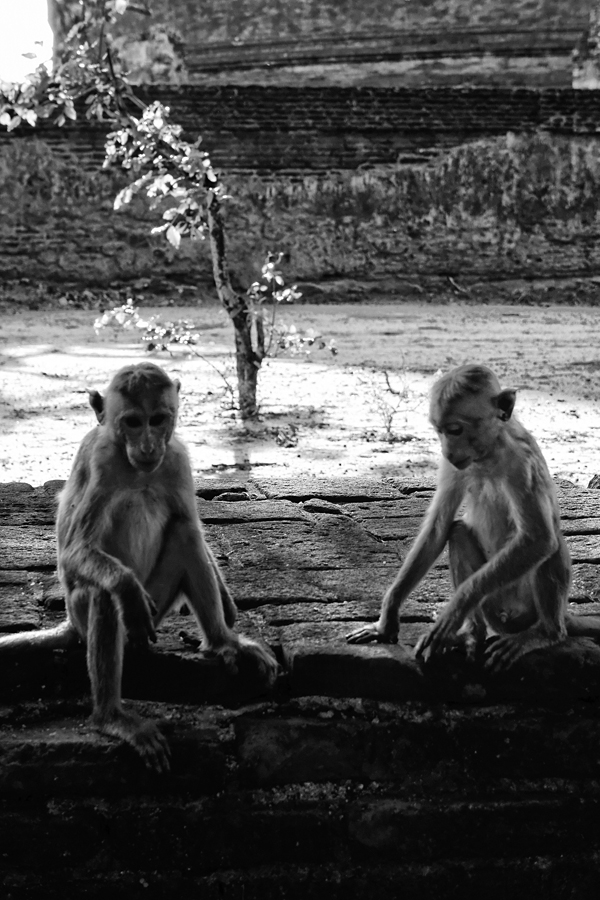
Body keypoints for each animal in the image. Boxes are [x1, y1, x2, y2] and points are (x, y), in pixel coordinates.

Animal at [0, 362, 276, 768]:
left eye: (157, 419)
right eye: (132, 422)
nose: (147, 446)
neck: (137, 469)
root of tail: (69, 624)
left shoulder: (176, 458)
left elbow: (190, 524)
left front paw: (227, 610)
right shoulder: (101, 461)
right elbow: (76, 552)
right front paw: (126, 587)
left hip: (157, 609)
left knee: (183, 535)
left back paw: (222, 641)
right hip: (87, 615)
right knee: (102, 595)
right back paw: (110, 717)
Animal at [346, 364, 600, 668]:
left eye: (455, 430)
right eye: (439, 431)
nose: (446, 449)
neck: (489, 453)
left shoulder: (522, 463)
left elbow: (539, 538)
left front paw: (454, 610)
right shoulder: (452, 465)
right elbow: (439, 526)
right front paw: (387, 620)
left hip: (527, 608)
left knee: (550, 542)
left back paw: (545, 633)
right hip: (493, 606)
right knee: (457, 532)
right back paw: (472, 634)